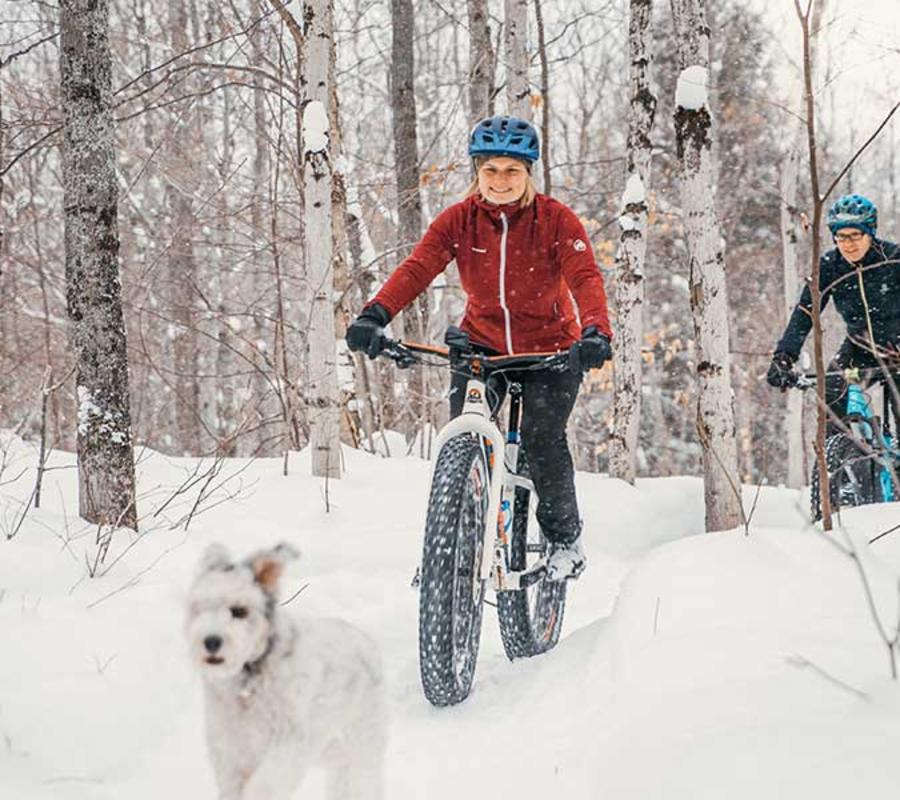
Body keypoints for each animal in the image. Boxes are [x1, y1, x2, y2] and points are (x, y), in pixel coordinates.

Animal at [186, 540, 386, 796]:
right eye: (198, 608)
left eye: (239, 610)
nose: (210, 641)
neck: (249, 677)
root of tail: (366, 640)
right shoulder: (229, 750)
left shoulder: (287, 743)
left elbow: (264, 785)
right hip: (321, 738)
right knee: (339, 759)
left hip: (362, 733)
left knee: (364, 773)